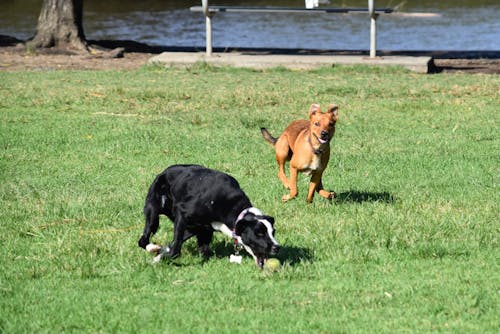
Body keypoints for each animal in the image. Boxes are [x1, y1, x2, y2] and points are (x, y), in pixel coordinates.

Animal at [139, 163, 280, 268]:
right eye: (259, 233)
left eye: (273, 232)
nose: (276, 247)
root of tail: (164, 171)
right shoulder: (182, 215)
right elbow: (175, 250)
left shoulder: (202, 229)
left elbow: (188, 247)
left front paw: (159, 258)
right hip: (153, 212)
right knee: (143, 240)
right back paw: (152, 248)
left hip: (192, 228)